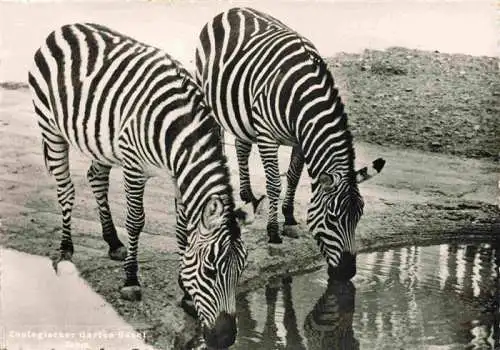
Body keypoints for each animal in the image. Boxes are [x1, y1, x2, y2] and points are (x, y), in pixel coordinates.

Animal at [26, 23, 249, 348]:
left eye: (241, 268)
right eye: (209, 270)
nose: (225, 338)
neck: (178, 131)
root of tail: (64, 28)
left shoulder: (178, 176)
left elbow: (183, 232)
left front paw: (185, 292)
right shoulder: (134, 167)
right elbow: (135, 221)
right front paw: (131, 281)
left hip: (99, 141)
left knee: (96, 178)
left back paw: (113, 242)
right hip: (51, 127)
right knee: (66, 190)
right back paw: (66, 247)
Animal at [195, 7, 386, 278]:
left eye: (359, 215)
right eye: (332, 218)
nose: (348, 272)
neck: (302, 99)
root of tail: (232, 9)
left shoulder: (300, 140)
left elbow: (294, 177)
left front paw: (289, 218)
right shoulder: (267, 135)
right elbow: (275, 183)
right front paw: (274, 231)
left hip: (243, 114)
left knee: (242, 147)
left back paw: (248, 194)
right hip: (210, 97)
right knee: (219, 137)